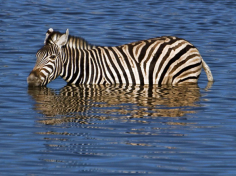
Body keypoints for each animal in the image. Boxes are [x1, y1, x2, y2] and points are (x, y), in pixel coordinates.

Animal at [27, 28, 214, 86]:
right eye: (36, 56)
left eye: (52, 57)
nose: (31, 80)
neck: (86, 66)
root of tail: (191, 45)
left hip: (185, 79)